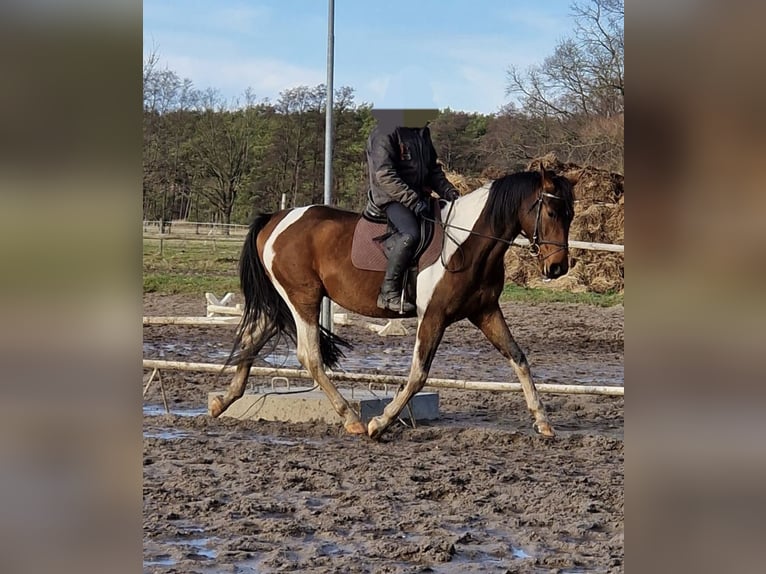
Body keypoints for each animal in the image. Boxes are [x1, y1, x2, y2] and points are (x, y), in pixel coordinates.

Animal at [210, 168, 576, 440]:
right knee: (309, 356)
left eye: (570, 215)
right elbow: (419, 375)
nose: (558, 267)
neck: (467, 244)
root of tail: (276, 219)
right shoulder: (434, 316)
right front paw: (380, 423)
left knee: (252, 339)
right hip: (303, 299)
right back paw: (352, 420)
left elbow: (518, 357)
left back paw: (221, 402)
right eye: (552, 212)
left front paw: (543, 421)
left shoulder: (484, 311)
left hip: (286, 302)